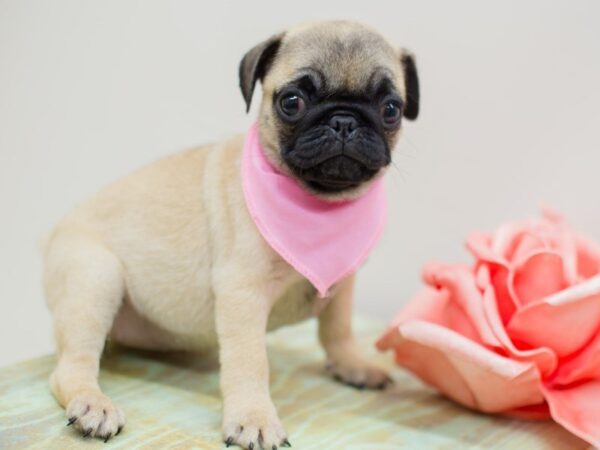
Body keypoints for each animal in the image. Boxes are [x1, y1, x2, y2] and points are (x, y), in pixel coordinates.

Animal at [42, 19, 420, 448]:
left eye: (391, 110)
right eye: (292, 102)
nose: (344, 121)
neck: (319, 203)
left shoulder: (343, 283)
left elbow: (337, 329)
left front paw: (351, 364)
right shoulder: (242, 292)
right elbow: (250, 361)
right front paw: (254, 417)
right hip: (95, 277)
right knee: (71, 365)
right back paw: (94, 404)